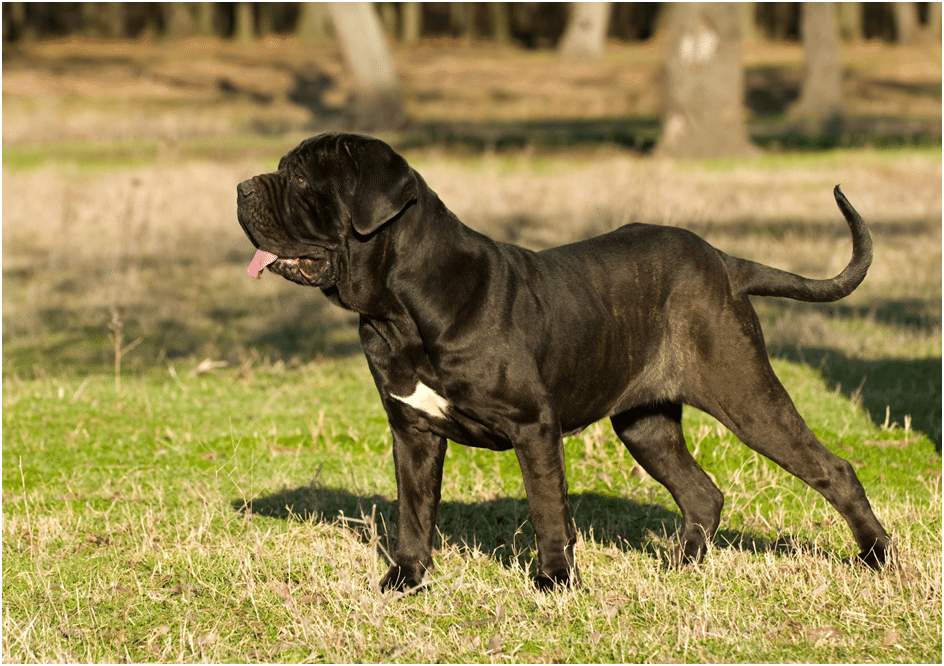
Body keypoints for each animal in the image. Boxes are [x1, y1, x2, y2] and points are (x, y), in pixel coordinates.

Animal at [238, 132, 892, 588]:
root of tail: (726, 262)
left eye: (301, 180)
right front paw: (405, 580)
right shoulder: (413, 431)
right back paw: (677, 569)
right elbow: (413, 512)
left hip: (746, 394)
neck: (399, 308)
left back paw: (877, 558)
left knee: (833, 470)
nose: (242, 188)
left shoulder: (533, 426)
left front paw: (555, 583)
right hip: (645, 423)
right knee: (702, 492)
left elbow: (548, 508)